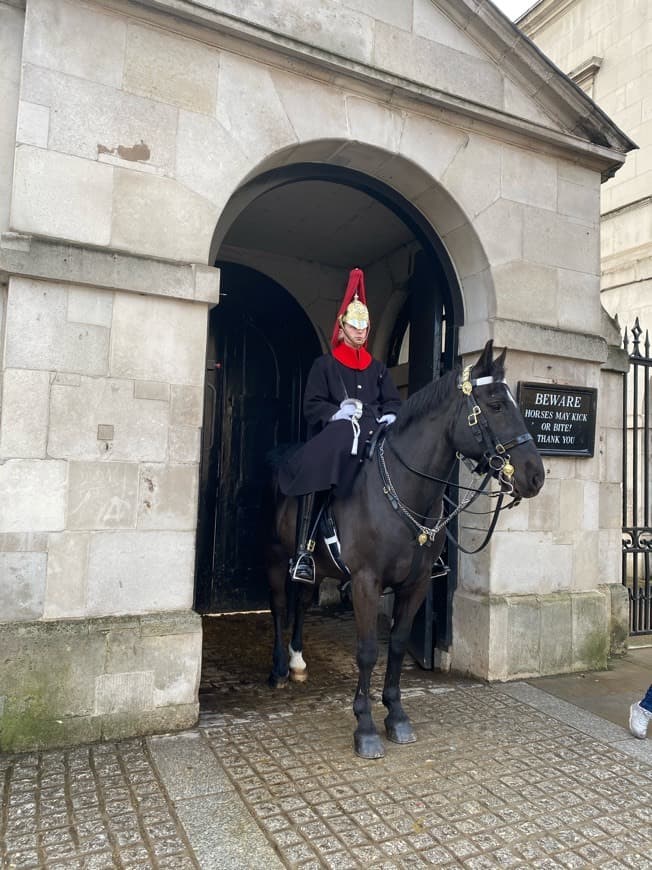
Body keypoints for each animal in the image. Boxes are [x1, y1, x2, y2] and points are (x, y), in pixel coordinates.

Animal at [264, 344, 544, 760]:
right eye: (495, 404)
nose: (535, 476)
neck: (404, 489)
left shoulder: (416, 583)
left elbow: (396, 644)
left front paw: (395, 714)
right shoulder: (365, 582)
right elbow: (367, 651)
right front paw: (364, 727)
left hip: (317, 567)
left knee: (300, 601)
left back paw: (298, 660)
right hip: (275, 556)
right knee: (281, 606)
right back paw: (280, 668)